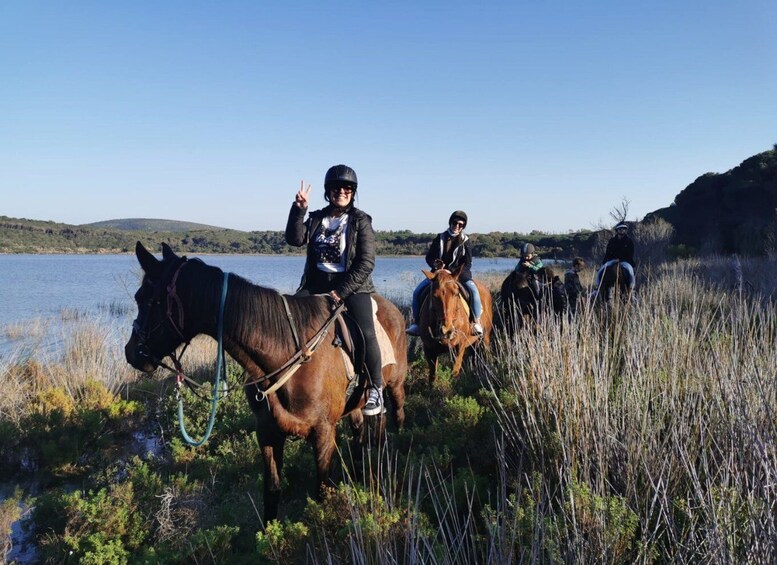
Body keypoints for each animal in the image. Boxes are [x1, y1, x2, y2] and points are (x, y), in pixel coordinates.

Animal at [123, 242, 406, 520]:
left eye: (142, 299)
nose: (131, 352)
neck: (287, 355)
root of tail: (393, 309)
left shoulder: (324, 433)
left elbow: (322, 492)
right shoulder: (268, 433)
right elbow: (271, 493)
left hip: (394, 385)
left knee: (394, 415)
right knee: (359, 432)